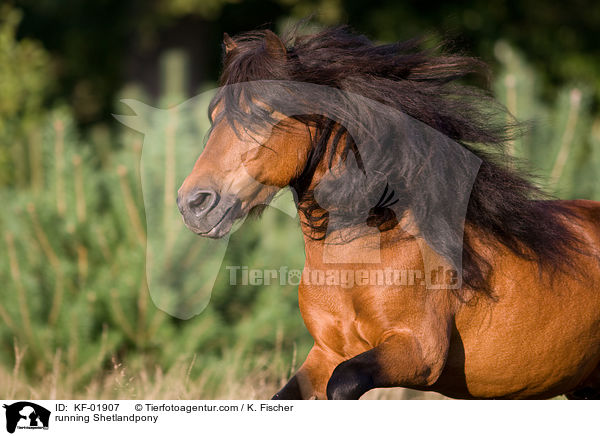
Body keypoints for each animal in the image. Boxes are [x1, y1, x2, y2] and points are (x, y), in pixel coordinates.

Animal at [176, 28, 596, 398]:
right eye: (214, 115)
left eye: (263, 113)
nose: (193, 204)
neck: (363, 256)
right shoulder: (327, 352)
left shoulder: (419, 354)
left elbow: (343, 383)